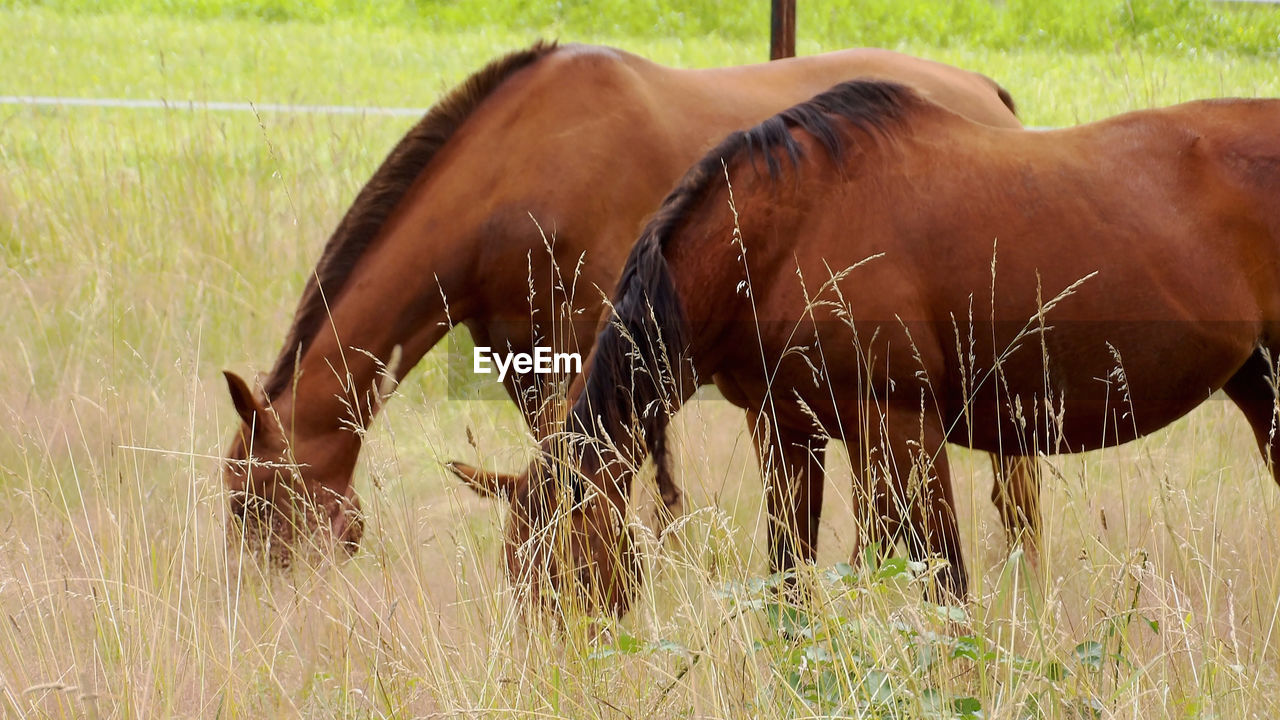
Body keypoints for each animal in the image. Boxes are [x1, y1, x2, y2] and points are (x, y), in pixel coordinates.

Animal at [217, 41, 1018, 563]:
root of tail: (990, 95)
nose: (268, 611)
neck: (516, 172)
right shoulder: (525, 359)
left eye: (255, 505)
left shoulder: (593, 344)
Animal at [453, 79, 1280, 609]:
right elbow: (790, 582)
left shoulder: (901, 430)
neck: (780, 239)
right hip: (1260, 386)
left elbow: (942, 584)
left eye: (567, 578)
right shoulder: (787, 432)